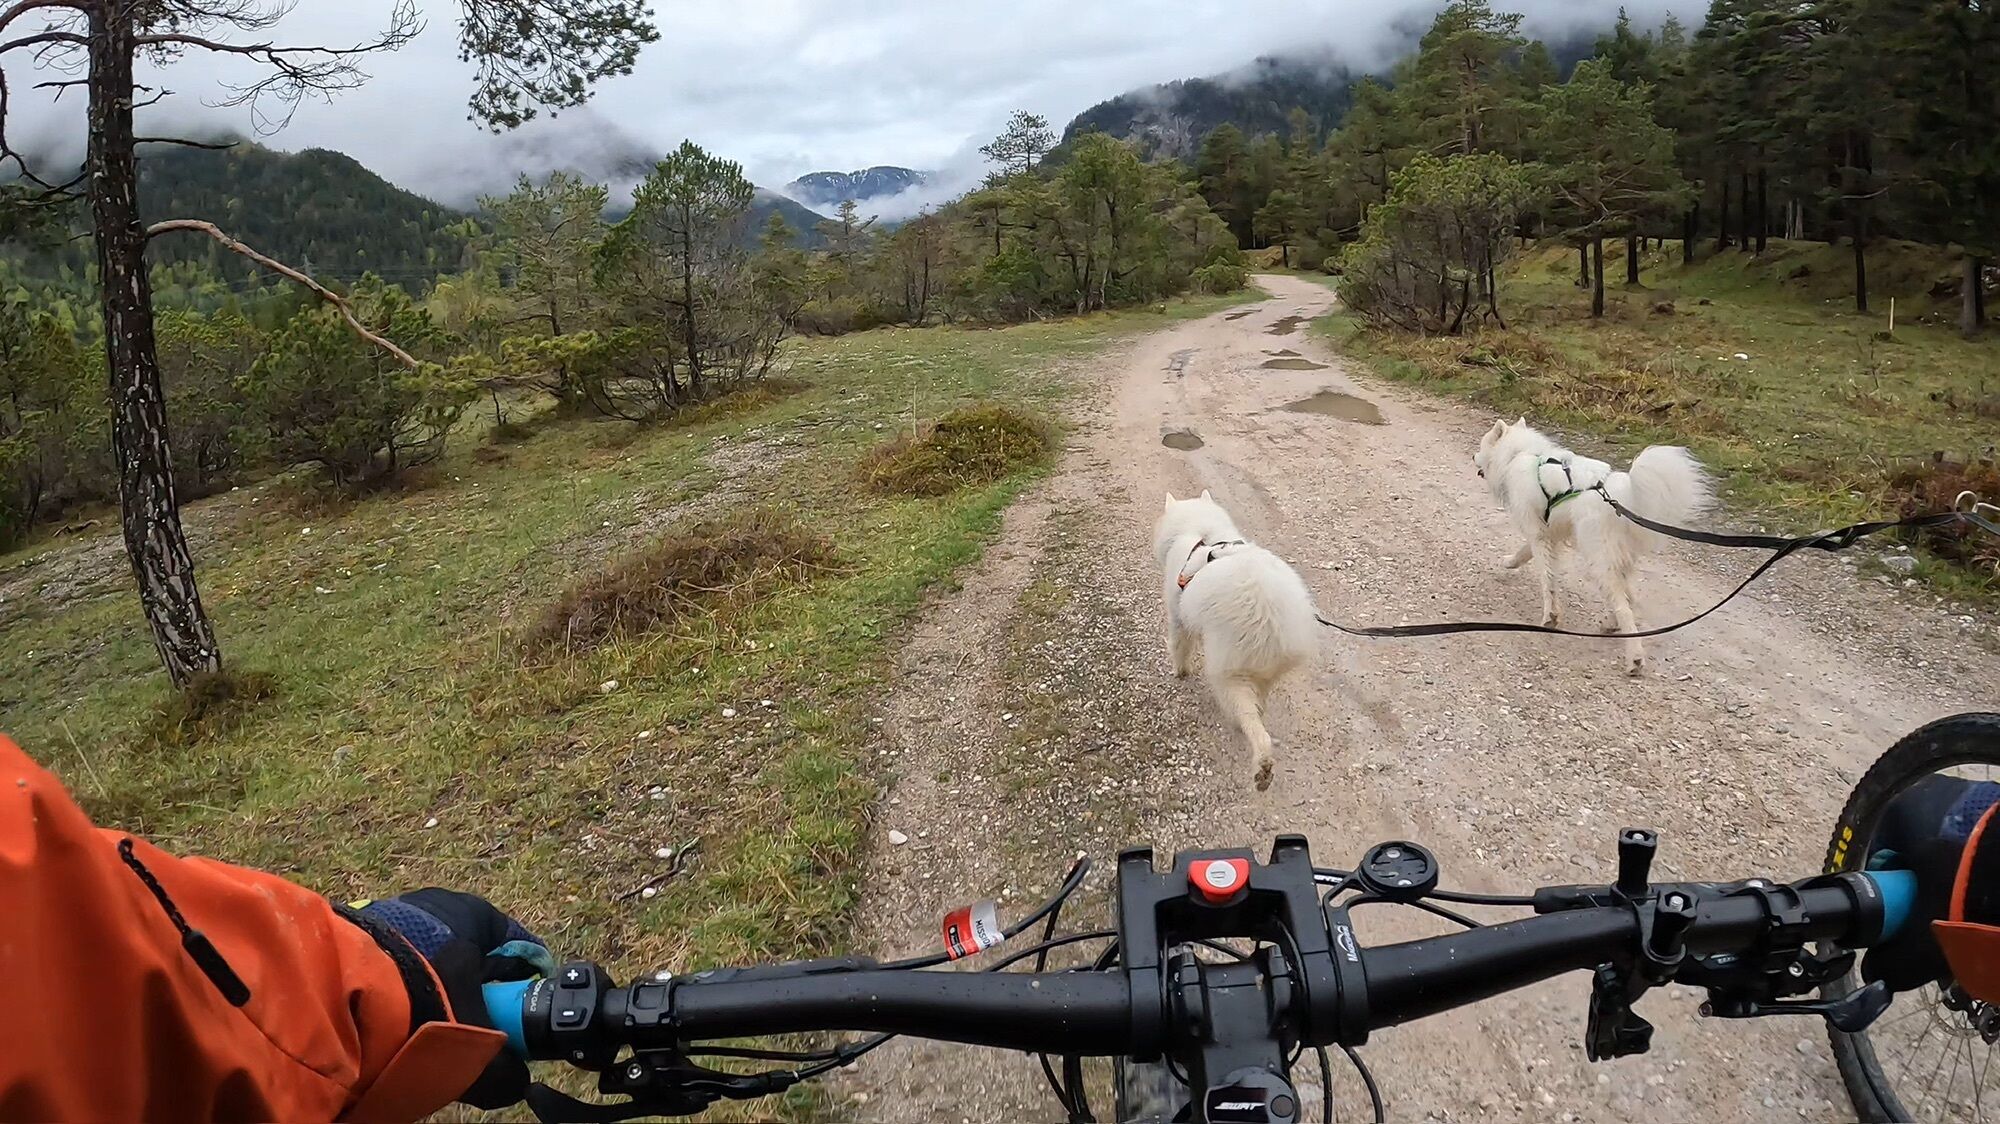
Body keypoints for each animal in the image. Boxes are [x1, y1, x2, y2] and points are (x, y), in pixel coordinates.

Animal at [1154, 491, 1320, 790]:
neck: (1200, 533)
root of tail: (1270, 623)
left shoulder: (1177, 615)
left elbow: (1179, 647)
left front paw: (1180, 672)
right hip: (1266, 674)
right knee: (1259, 704)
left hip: (1229, 672)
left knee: (1253, 726)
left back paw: (1262, 768)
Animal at [1473, 418, 1713, 676]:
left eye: (1481, 446)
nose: (1474, 457)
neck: (1520, 453)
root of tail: (1621, 497)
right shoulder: (1550, 531)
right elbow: (1525, 553)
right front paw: (1510, 562)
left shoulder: (1537, 532)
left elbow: (1547, 579)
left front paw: (1550, 616)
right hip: (1613, 559)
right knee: (1628, 597)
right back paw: (1610, 625)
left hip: (1598, 557)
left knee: (1624, 606)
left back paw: (1634, 659)